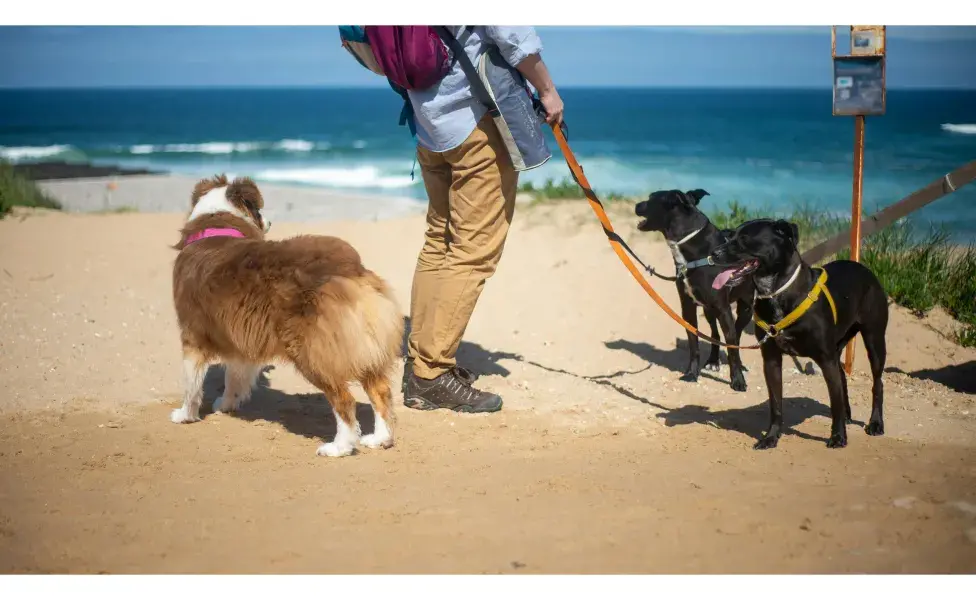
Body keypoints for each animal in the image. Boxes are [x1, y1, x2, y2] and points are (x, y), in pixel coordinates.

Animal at [172, 176, 404, 458]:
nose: (271, 222)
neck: (217, 223)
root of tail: (350, 270)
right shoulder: (239, 335)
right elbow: (233, 376)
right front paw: (227, 404)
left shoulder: (192, 335)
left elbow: (191, 383)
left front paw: (185, 414)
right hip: (363, 345)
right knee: (380, 391)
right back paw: (380, 438)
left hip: (313, 352)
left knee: (344, 400)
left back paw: (339, 447)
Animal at [632, 190, 756, 392]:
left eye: (651, 199)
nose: (636, 205)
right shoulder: (688, 308)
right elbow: (694, 344)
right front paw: (692, 373)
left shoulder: (723, 309)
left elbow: (731, 345)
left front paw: (737, 379)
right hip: (708, 309)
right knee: (715, 334)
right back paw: (713, 361)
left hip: (745, 308)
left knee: (735, 337)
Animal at [704, 219, 888, 450]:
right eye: (730, 236)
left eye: (745, 239)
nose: (713, 253)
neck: (777, 292)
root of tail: (864, 269)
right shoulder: (771, 359)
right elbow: (776, 404)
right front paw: (771, 437)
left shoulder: (825, 358)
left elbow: (834, 401)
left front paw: (838, 437)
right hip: (838, 346)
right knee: (843, 378)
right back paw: (848, 415)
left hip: (874, 340)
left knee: (877, 383)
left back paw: (875, 423)